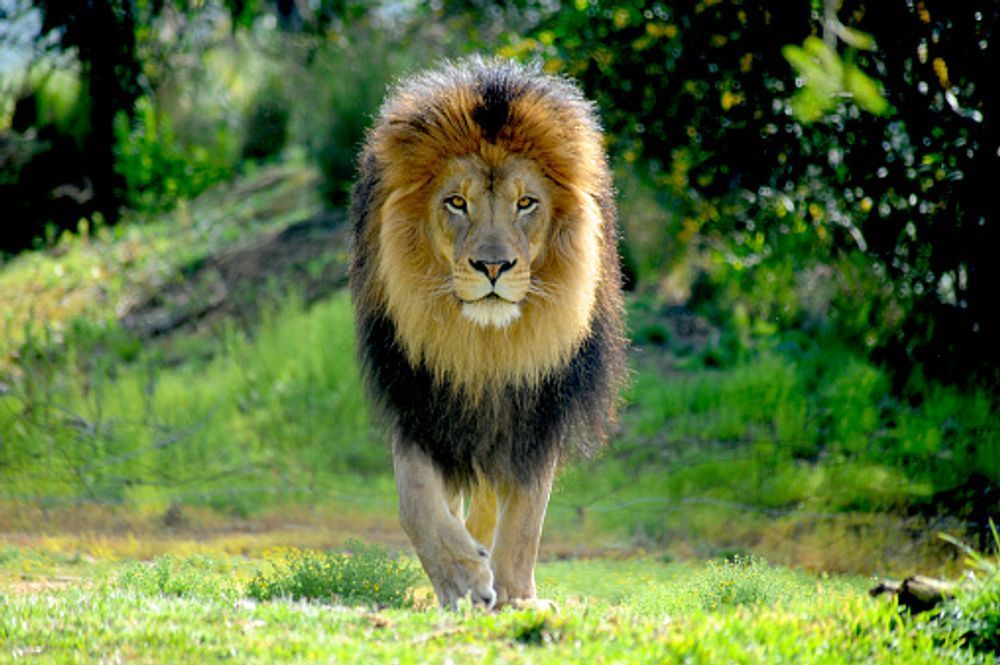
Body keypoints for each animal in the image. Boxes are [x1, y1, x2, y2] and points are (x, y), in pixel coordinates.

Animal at [348, 57, 620, 608]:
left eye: (526, 203)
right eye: (456, 202)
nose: (493, 267)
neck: (484, 346)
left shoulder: (538, 409)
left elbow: (525, 517)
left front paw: (515, 595)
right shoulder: (420, 398)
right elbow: (416, 500)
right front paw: (462, 579)